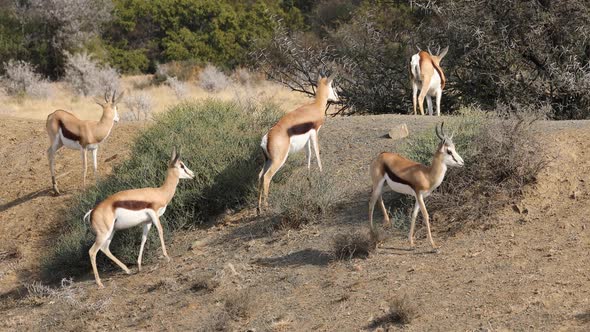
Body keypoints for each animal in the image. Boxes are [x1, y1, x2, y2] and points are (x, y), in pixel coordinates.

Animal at [83, 148, 195, 288]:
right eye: (182, 165)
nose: (193, 174)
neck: (160, 192)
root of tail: (92, 212)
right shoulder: (154, 214)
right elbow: (160, 231)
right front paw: (167, 256)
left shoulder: (147, 221)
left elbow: (143, 238)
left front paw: (139, 265)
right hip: (104, 234)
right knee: (92, 252)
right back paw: (100, 283)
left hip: (111, 232)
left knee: (105, 248)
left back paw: (127, 270)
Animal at [258, 72, 338, 213]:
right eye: (332, 86)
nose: (337, 98)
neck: (315, 107)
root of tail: (266, 137)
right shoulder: (314, 132)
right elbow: (317, 153)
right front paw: (321, 173)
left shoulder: (306, 140)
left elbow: (309, 155)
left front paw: (309, 179)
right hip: (279, 160)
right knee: (267, 177)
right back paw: (266, 207)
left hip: (268, 160)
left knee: (260, 176)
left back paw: (258, 208)